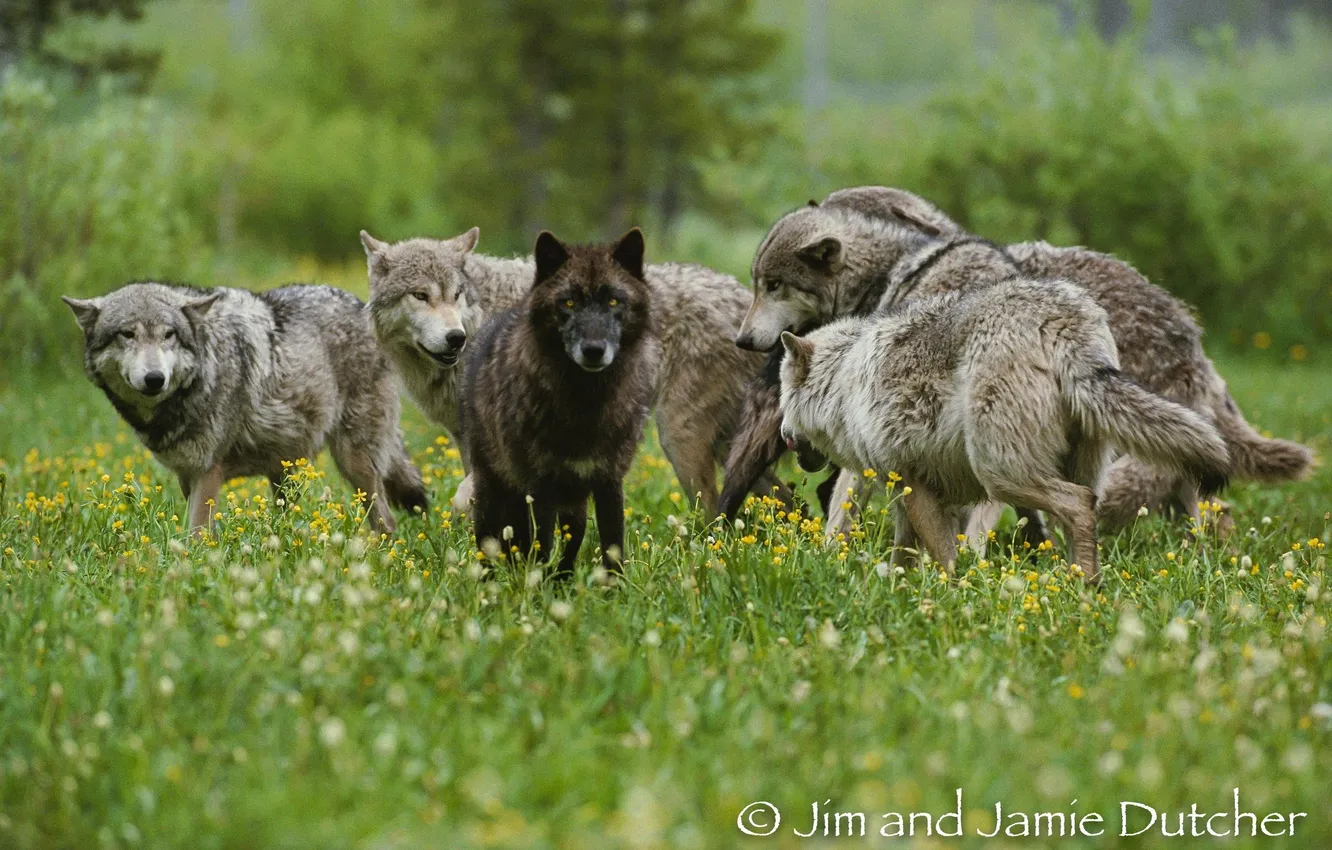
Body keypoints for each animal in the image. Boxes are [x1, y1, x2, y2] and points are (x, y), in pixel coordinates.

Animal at [64, 282, 427, 533]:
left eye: (169, 335)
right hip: (285, 474)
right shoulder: (187, 477)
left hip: (355, 465)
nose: (155, 379)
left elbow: (195, 536)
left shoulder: (208, 473)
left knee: (387, 522)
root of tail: (363, 306)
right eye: (127, 334)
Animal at [362, 227, 767, 517]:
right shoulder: (470, 436)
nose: (455, 338)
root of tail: (744, 300)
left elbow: (467, 496)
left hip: (679, 439)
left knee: (714, 510)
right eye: (420, 296)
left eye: (457, 295)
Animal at [460, 229, 657, 577]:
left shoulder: (609, 481)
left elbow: (613, 545)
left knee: (570, 541)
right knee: (490, 540)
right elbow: (541, 546)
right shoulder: (540, 488)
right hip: (494, 489)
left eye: (613, 301)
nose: (594, 350)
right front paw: (536, 588)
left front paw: (616, 588)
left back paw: (562, 580)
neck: (586, 403)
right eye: (569, 302)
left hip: (572, 505)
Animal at [727, 186, 1312, 532]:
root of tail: (1192, 338)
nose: (742, 341)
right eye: (757, 284)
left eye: (772, 286)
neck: (897, 267)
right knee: (1211, 509)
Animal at [777, 278, 1231, 582]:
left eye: (783, 398)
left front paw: (951, 596)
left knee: (1078, 503)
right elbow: (905, 556)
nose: (782, 434)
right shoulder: (913, 495)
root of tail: (1061, 323)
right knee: (1082, 516)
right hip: (1057, 471)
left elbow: (945, 558)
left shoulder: (915, 488)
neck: (844, 379)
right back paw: (1083, 590)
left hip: (999, 475)